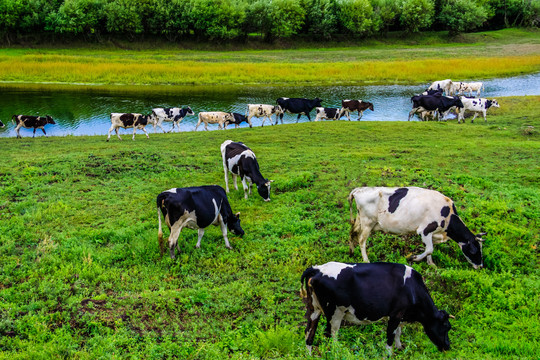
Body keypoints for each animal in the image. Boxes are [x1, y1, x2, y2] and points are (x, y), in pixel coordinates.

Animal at [348, 187, 488, 268]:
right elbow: (430, 249)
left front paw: (431, 264)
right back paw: (366, 260)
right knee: (362, 240)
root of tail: (359, 190)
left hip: (360, 220)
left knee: (352, 233)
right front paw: (413, 258)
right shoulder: (424, 231)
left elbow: (430, 249)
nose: (481, 266)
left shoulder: (433, 234)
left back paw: (351, 251)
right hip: (368, 222)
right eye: (474, 250)